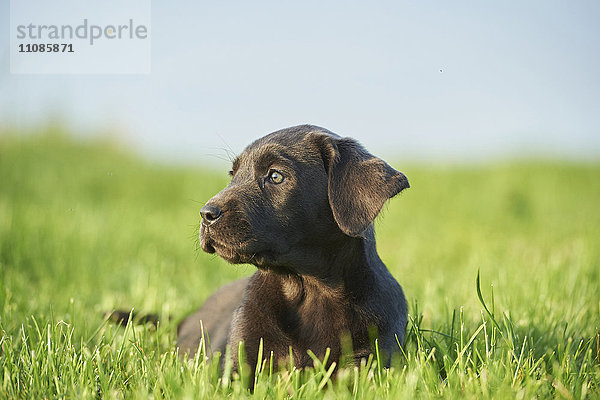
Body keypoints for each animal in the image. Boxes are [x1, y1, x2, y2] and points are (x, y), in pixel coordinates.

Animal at [176, 124, 410, 372]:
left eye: (276, 176)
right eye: (233, 174)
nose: (206, 214)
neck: (307, 288)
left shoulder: (368, 357)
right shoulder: (239, 360)